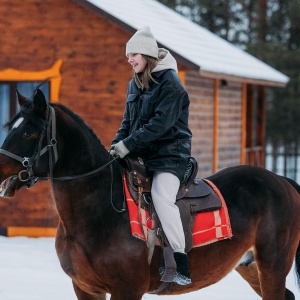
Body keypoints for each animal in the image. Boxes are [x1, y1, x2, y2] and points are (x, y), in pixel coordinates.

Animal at [0, 89, 298, 300]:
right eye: (10, 127)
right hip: (250, 267)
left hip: (272, 266)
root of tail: (281, 181)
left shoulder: (127, 290)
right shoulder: (85, 288)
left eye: (28, 132)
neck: (99, 213)